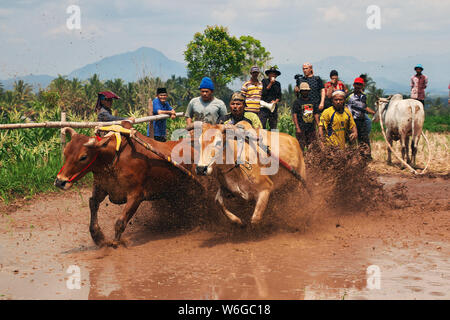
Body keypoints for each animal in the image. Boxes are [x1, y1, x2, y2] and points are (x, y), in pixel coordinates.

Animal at [54, 122, 199, 248]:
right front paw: (97, 236)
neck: (115, 156)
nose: (60, 181)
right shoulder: (101, 189)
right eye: (65, 153)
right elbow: (93, 203)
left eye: (83, 157)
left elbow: (120, 222)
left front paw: (115, 242)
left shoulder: (136, 196)